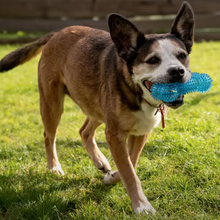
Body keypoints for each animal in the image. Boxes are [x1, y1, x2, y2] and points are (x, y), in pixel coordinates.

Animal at [0, 1, 194, 215]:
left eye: (182, 56)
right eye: (152, 60)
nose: (177, 71)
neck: (135, 89)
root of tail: (57, 33)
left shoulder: (139, 133)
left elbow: (130, 163)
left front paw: (113, 176)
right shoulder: (114, 134)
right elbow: (129, 172)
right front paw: (142, 206)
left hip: (96, 106)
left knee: (84, 131)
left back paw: (100, 161)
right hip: (52, 105)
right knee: (48, 136)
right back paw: (54, 167)